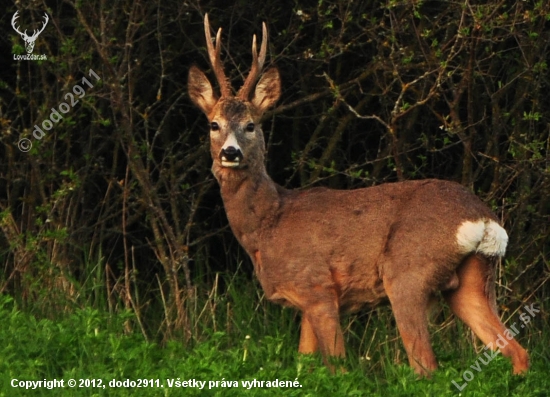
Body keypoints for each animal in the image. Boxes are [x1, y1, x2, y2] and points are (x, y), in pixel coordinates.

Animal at [190, 13, 532, 376]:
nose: (230, 152)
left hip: (408, 273)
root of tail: (483, 218)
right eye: (214, 124)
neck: (268, 224)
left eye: (251, 125)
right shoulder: (304, 302)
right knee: (516, 351)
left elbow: (338, 368)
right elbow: (304, 364)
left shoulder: (319, 287)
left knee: (426, 366)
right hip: (473, 280)